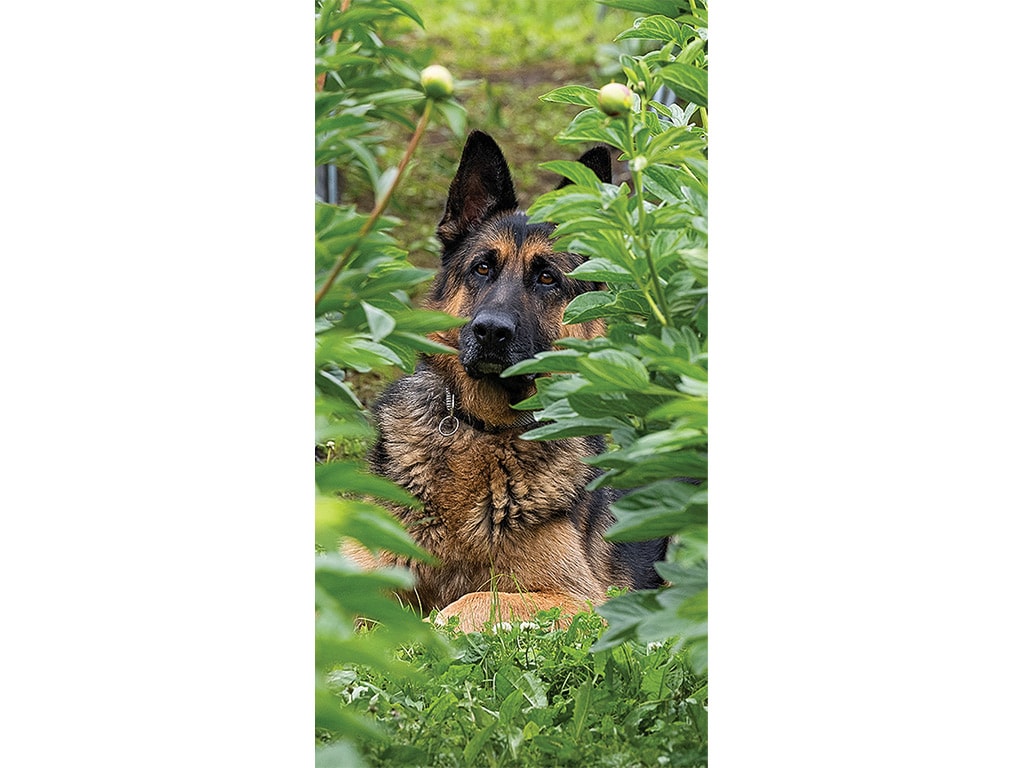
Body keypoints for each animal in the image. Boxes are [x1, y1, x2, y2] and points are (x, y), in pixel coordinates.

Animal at [350, 129, 671, 626]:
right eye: (483, 267)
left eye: (547, 278)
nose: (490, 331)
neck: (484, 431)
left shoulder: (579, 600)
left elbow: (469, 603)